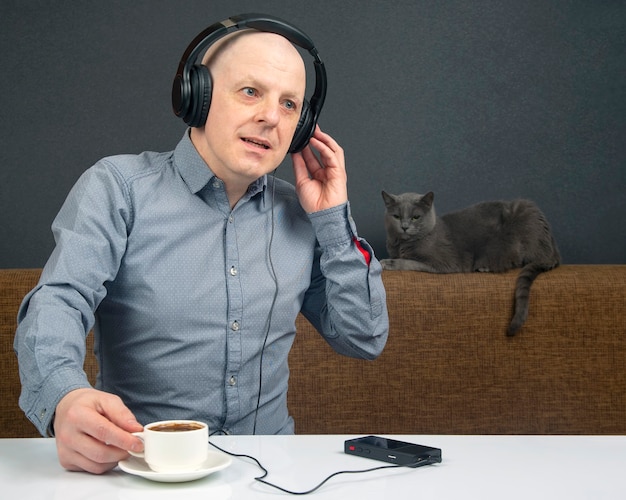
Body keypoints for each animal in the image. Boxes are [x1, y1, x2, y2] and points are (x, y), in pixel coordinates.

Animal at [380, 190, 560, 336]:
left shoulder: (443, 262)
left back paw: (485, 267)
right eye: (396, 216)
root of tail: (552, 246)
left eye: (415, 217)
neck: (402, 244)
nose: (404, 227)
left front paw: (386, 262)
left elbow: (408, 262)